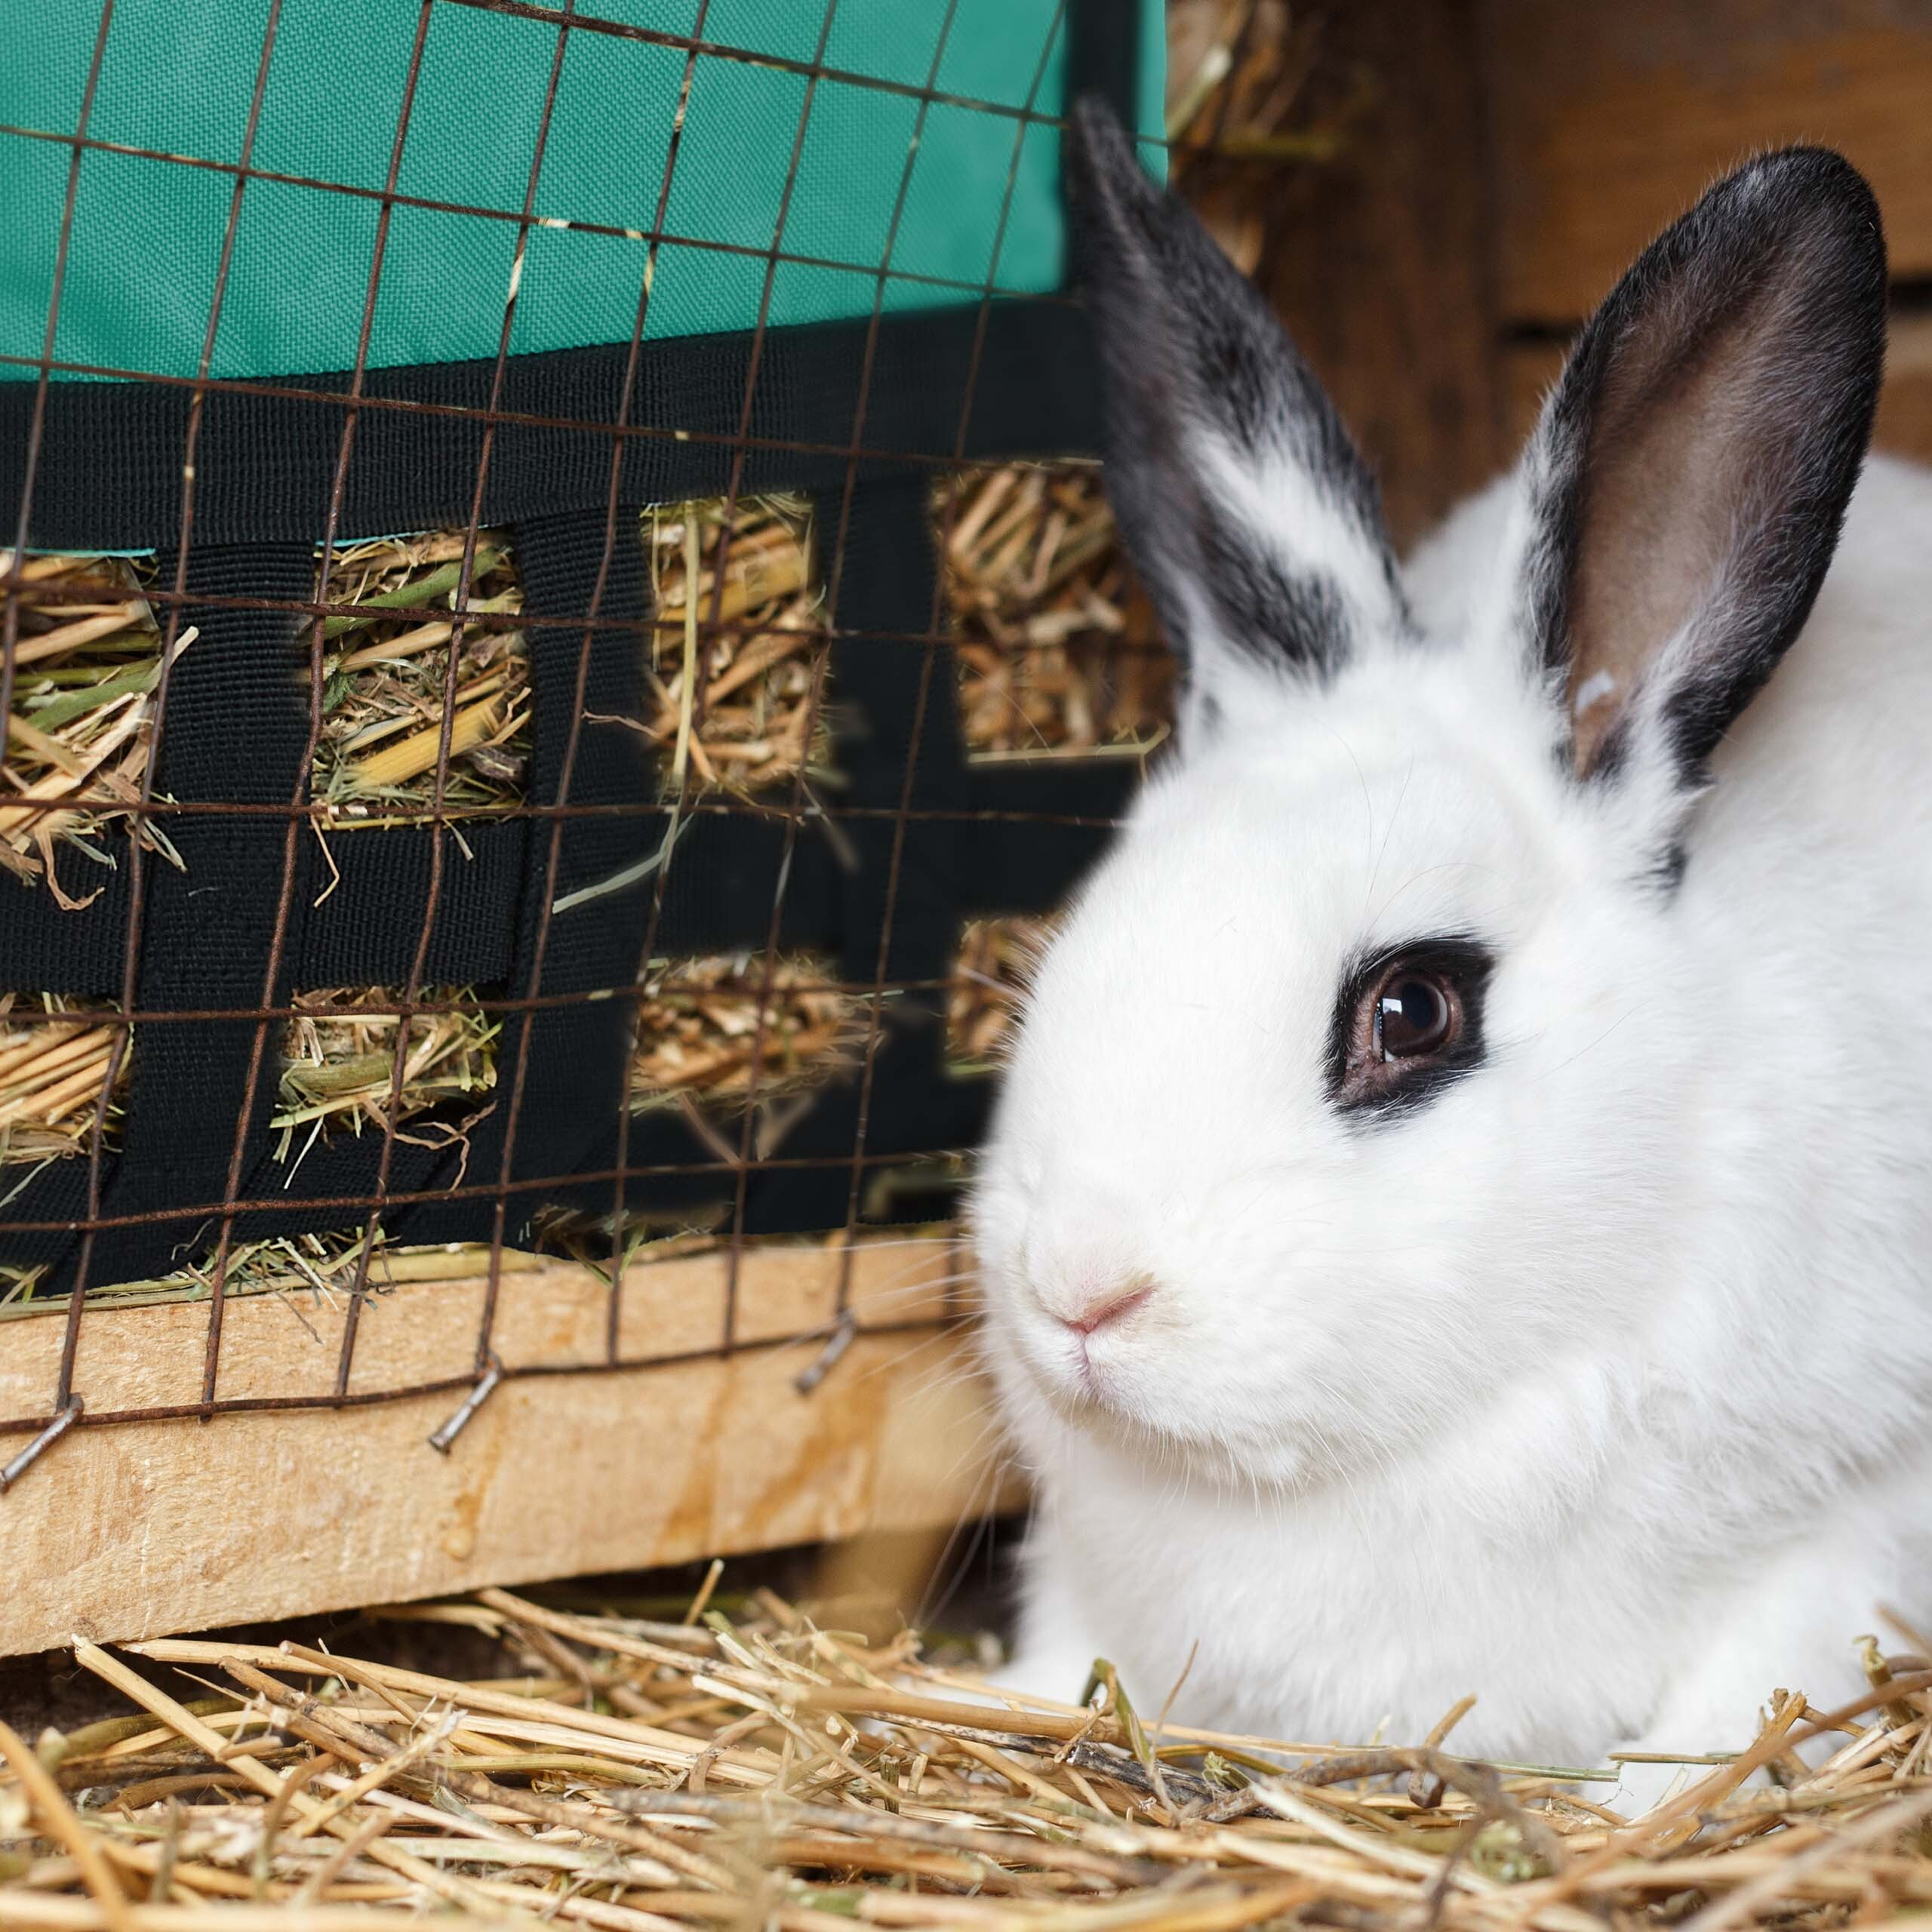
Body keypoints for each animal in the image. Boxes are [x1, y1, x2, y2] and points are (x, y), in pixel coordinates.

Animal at [970, 97, 1932, 1808]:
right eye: (1088, 930)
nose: (1082, 1291)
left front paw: (1633, 1804)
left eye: (1410, 1011)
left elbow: (1746, 1691)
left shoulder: (1862, 1521)